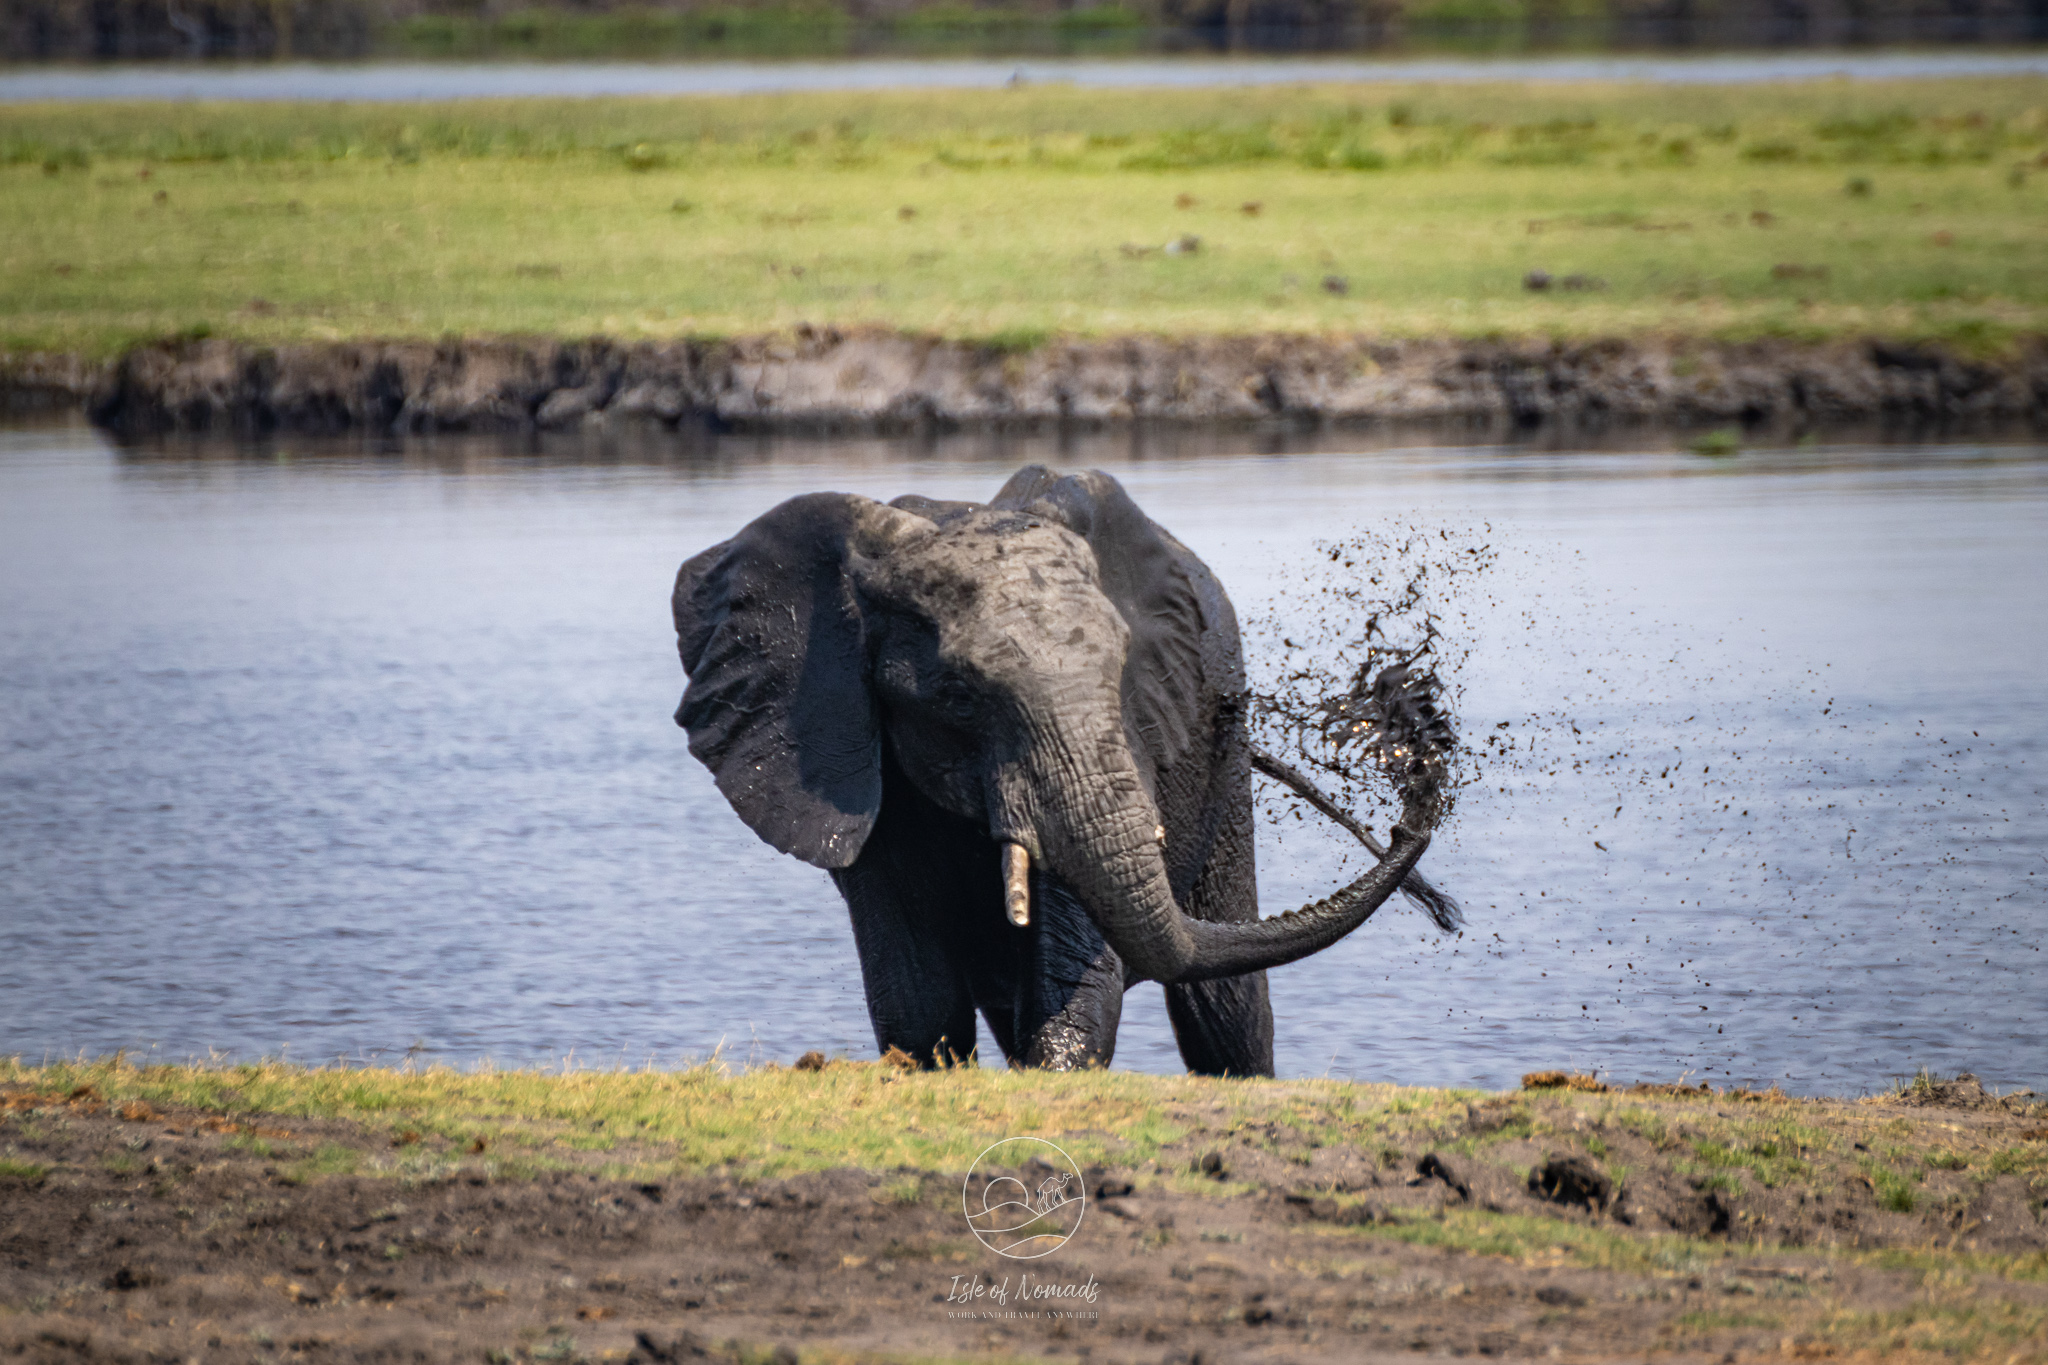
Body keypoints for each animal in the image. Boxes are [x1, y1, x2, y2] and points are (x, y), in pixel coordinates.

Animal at [671, 465, 1453, 1077]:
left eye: (1120, 669)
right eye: (959, 696)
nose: (1412, 722)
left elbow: (1077, 958)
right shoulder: (842, 749)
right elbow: (915, 991)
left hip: (1224, 760)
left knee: (1225, 1014)